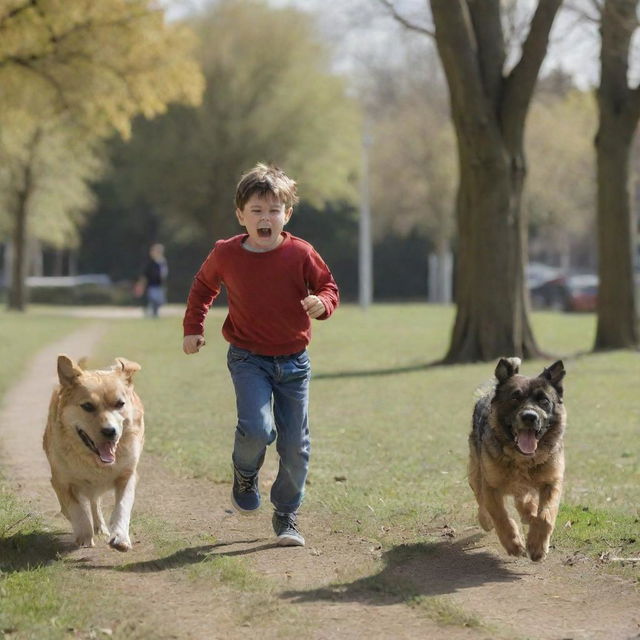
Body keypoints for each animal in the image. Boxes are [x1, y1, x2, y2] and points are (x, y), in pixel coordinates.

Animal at [44, 356, 145, 552]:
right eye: (87, 406)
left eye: (120, 404)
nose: (110, 431)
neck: (95, 462)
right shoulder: (61, 481)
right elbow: (76, 509)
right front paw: (84, 534)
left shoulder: (127, 474)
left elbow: (122, 506)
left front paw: (120, 537)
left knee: (95, 502)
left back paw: (100, 526)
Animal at [468, 358, 568, 564]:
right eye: (515, 398)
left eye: (544, 401)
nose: (529, 417)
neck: (522, 460)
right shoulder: (491, 485)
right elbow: (500, 515)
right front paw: (514, 544)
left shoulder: (552, 481)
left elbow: (545, 516)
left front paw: (537, 546)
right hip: (475, 471)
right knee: (481, 499)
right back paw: (486, 520)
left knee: (525, 501)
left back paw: (529, 515)